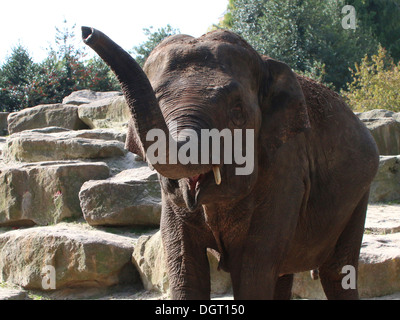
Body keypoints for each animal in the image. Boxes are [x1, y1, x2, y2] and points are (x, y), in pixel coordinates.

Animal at [81, 25, 378, 300]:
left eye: (237, 112)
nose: (87, 31)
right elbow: (184, 264)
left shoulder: (287, 170)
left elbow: (253, 267)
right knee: (286, 274)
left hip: (359, 194)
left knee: (336, 272)